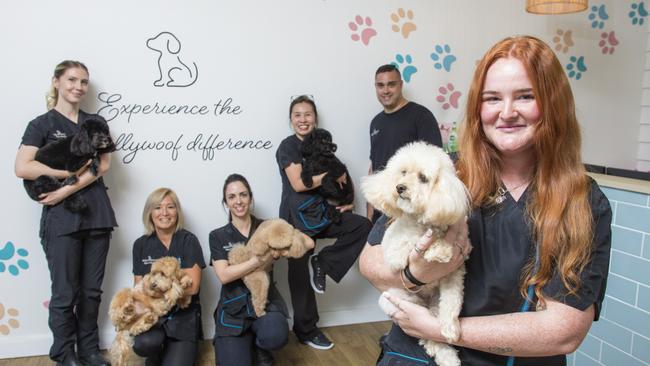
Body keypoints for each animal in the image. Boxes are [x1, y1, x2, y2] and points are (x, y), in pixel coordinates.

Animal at [362, 142, 468, 364]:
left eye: (423, 178)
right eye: (403, 173)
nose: (400, 187)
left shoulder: (454, 276)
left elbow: (452, 303)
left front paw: (450, 328)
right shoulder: (395, 252)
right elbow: (414, 243)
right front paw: (440, 250)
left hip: (433, 303)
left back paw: (447, 356)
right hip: (400, 301)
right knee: (424, 334)